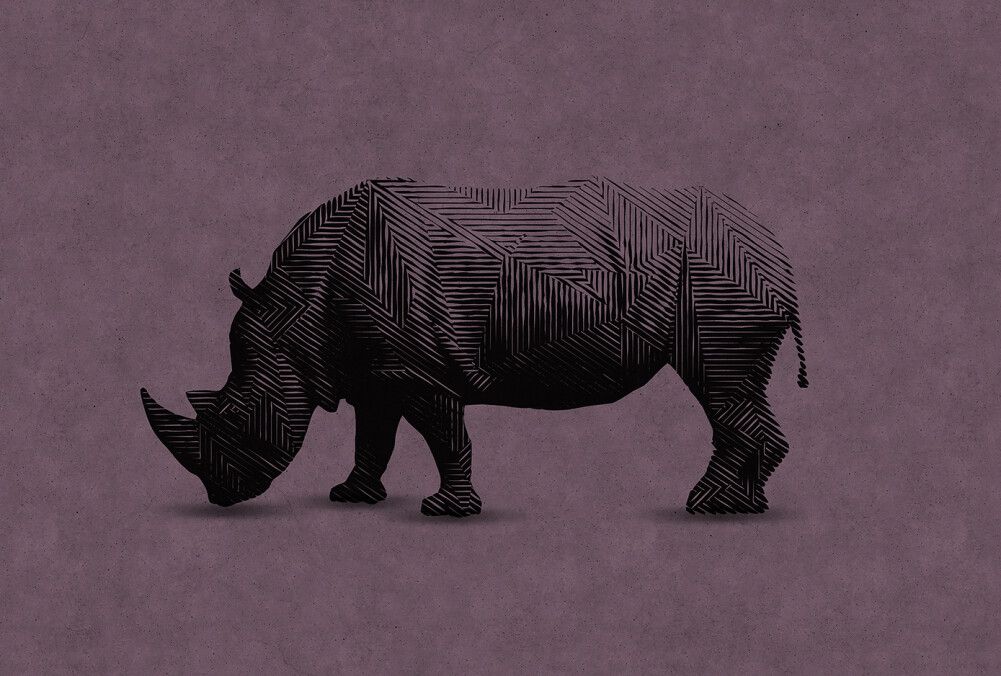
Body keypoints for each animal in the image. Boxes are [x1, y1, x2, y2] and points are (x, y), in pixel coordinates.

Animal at [141, 178, 808, 516]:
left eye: (234, 417)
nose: (220, 497)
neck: (294, 311)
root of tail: (773, 240)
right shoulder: (374, 370)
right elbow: (373, 435)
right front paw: (351, 497)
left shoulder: (417, 370)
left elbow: (445, 434)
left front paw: (445, 510)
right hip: (726, 273)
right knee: (739, 389)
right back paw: (747, 506)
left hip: (718, 279)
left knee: (719, 384)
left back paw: (706, 505)